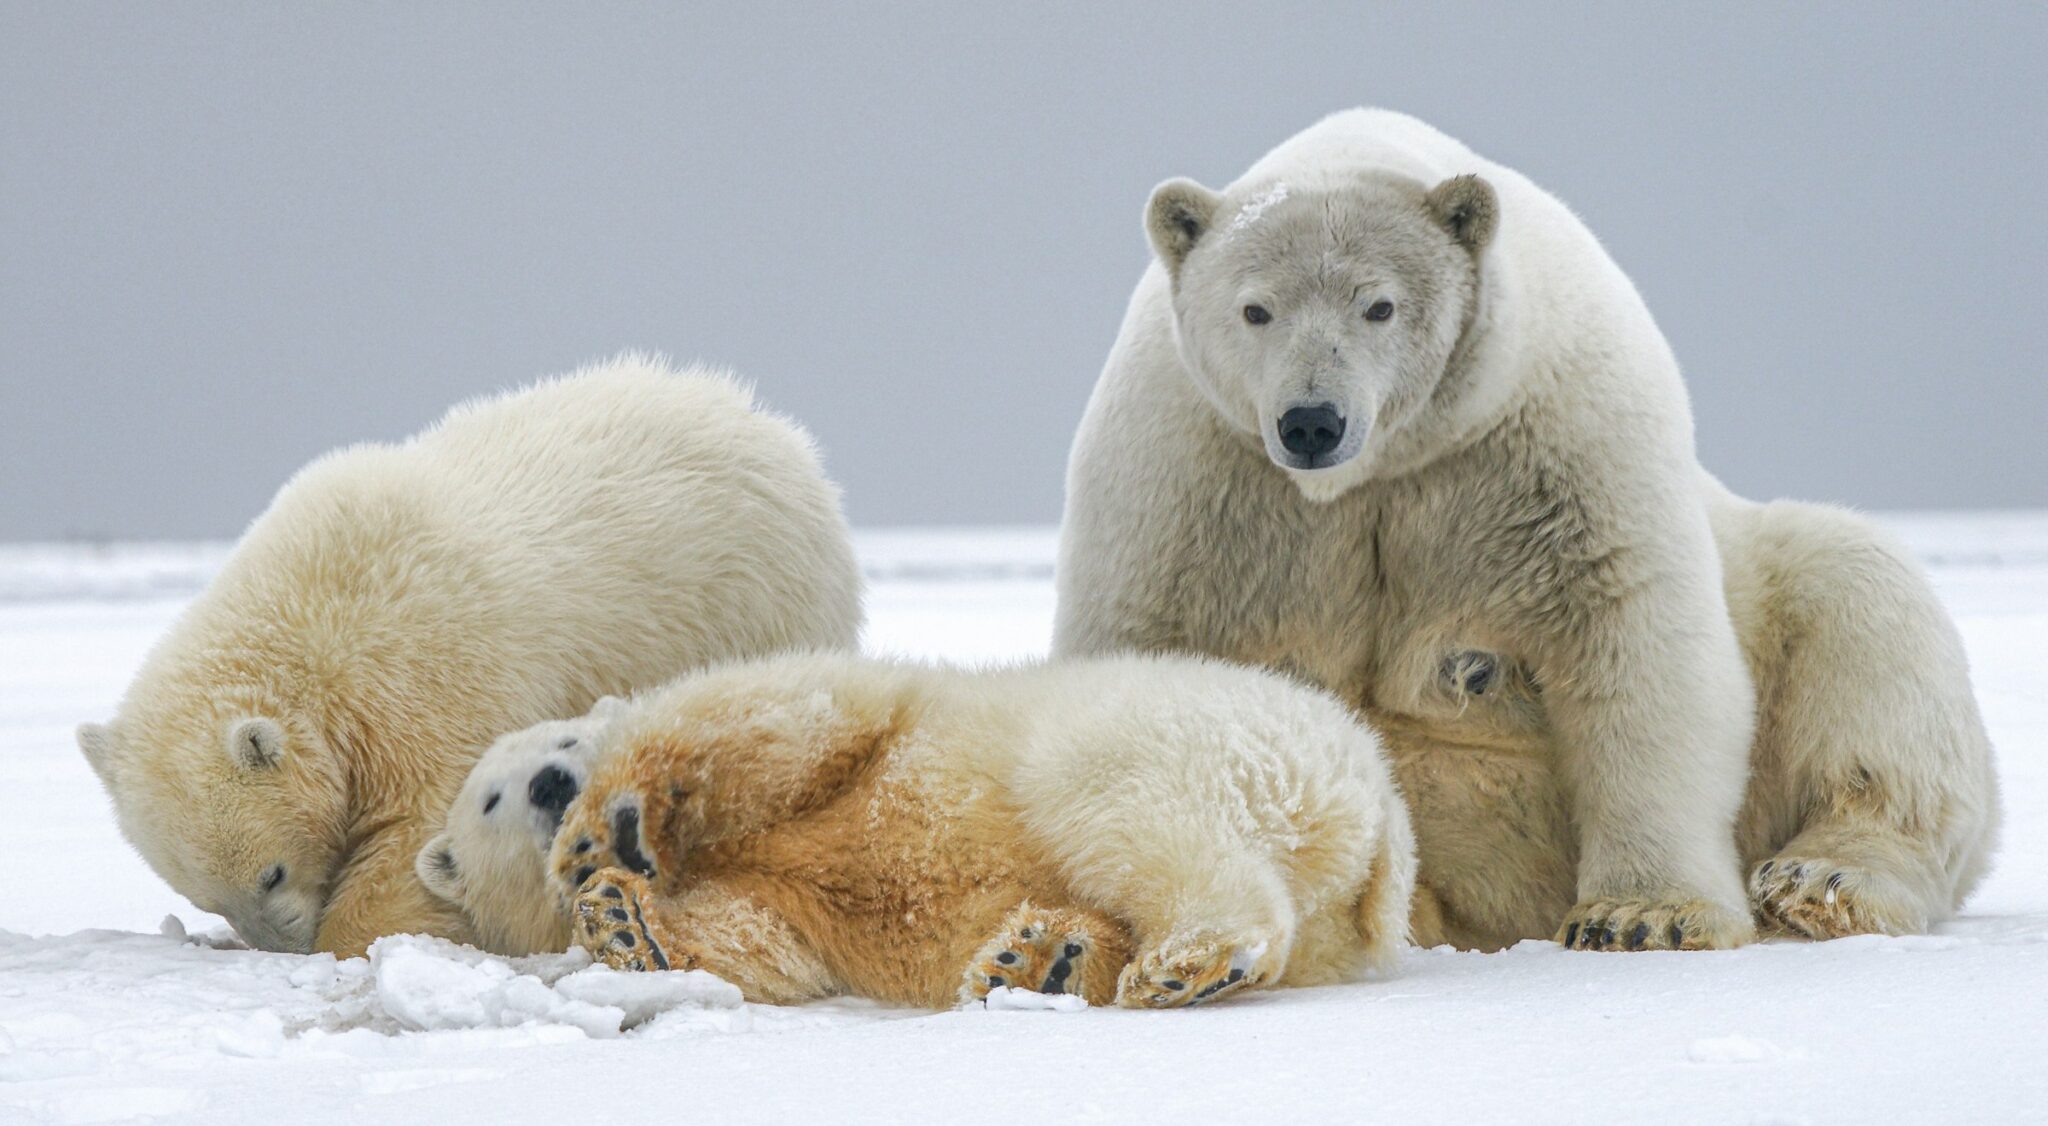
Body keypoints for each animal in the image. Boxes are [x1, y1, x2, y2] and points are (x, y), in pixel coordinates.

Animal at [77, 354, 864, 956]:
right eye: (206, 895)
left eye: (270, 874)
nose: (282, 946)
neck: (309, 617)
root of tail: (774, 430)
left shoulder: (421, 675)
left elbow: (424, 825)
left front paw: (361, 937)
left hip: (755, 600)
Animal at [421, 651, 1416, 1009]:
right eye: (490, 799)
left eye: (564, 741)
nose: (552, 783)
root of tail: (1377, 796)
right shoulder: (770, 896)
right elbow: (762, 940)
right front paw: (623, 924)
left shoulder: (863, 719)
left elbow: (777, 718)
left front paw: (608, 830)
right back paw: (1042, 958)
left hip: (1181, 737)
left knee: (1125, 807)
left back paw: (1186, 962)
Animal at [1054, 109, 2000, 952]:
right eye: (1255, 310)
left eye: (1379, 306)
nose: (1312, 422)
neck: (1381, 469)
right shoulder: (1191, 483)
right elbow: (1142, 664)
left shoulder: (1554, 445)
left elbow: (1637, 644)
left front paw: (1642, 916)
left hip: (1784, 587)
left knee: (1867, 635)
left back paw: (1821, 879)